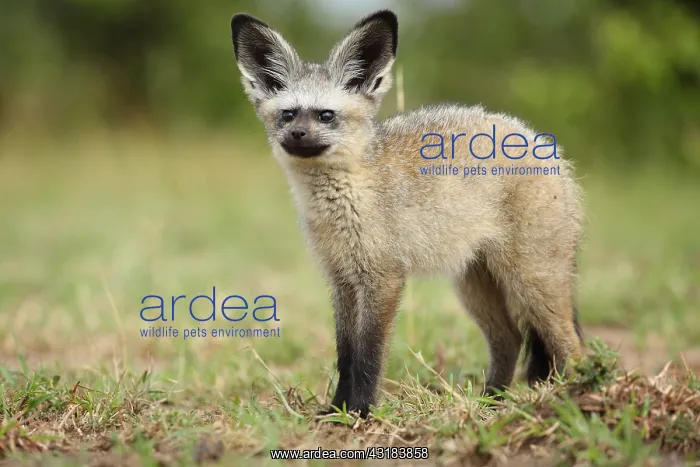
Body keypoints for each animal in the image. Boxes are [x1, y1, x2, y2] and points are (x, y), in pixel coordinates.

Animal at [230, 9, 585, 417]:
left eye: (326, 116)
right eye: (288, 115)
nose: (298, 135)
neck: (341, 207)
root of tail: (544, 144)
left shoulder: (383, 278)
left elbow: (368, 356)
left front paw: (360, 412)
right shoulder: (341, 280)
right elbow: (345, 354)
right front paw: (337, 410)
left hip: (533, 282)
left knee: (572, 348)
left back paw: (577, 396)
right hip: (474, 286)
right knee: (510, 340)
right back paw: (489, 404)